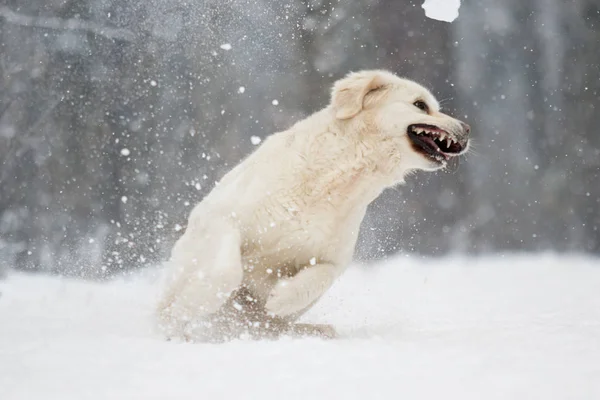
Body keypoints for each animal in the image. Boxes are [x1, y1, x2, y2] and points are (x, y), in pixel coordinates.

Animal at [157, 69, 472, 340]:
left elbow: (321, 275)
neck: (335, 179)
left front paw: (281, 297)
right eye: (421, 105)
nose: (467, 129)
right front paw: (192, 303)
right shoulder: (219, 216)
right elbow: (226, 271)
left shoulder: (334, 257)